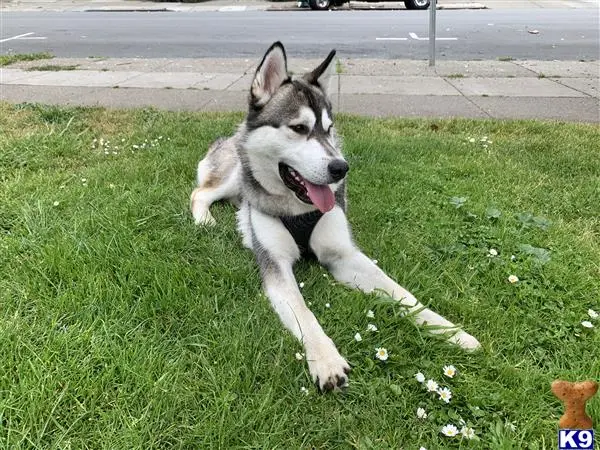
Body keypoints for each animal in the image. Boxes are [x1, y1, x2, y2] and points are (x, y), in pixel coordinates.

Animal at [190, 43, 480, 394]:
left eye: (328, 130)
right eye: (299, 128)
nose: (341, 168)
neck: (298, 210)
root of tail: (231, 136)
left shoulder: (344, 255)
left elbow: (402, 293)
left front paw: (450, 331)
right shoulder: (276, 266)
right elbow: (305, 313)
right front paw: (327, 361)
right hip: (234, 175)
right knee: (200, 192)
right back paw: (205, 220)